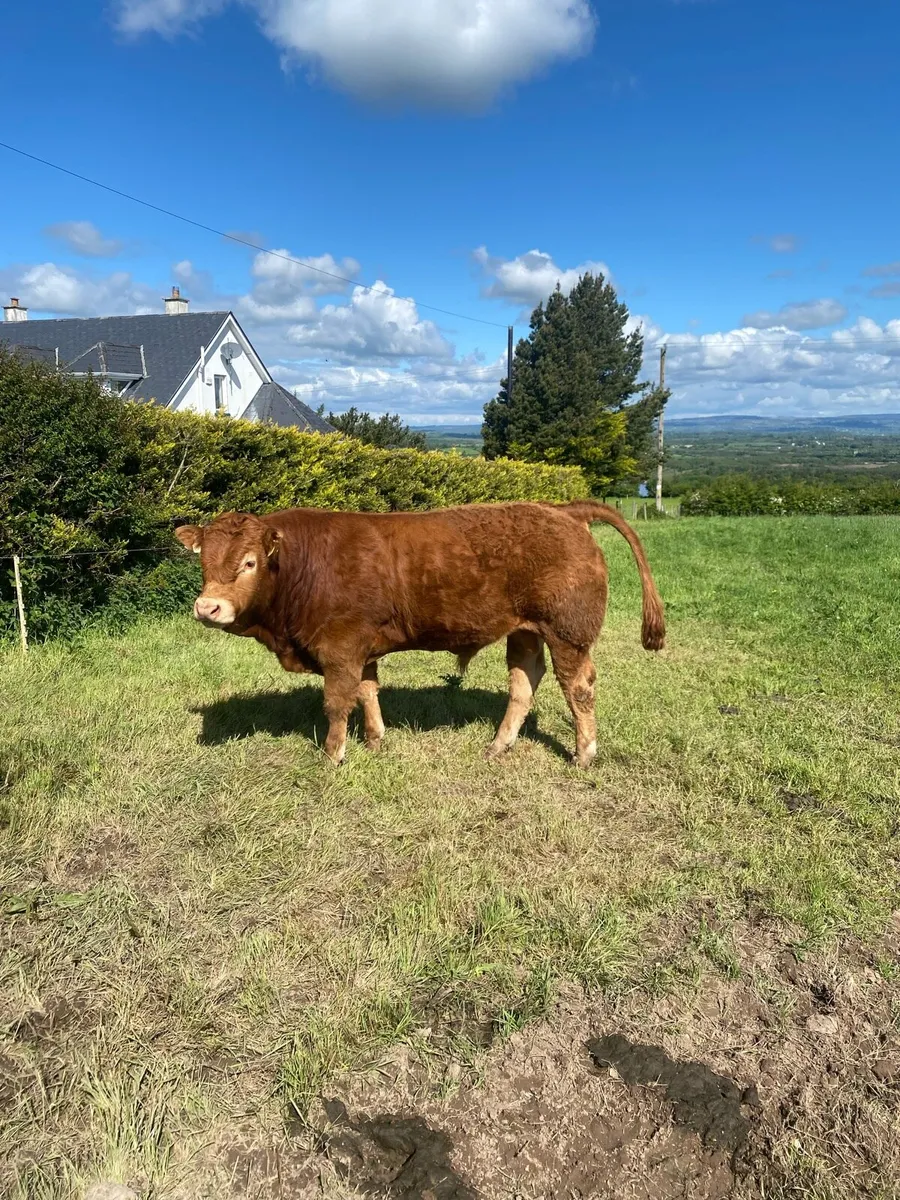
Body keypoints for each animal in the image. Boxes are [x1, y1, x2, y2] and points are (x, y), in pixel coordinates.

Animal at [174, 500, 665, 768]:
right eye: (203, 561)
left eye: (249, 562)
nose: (207, 607)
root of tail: (562, 510)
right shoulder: (362, 647)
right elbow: (368, 692)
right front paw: (376, 740)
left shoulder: (339, 648)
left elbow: (337, 704)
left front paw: (332, 755)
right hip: (525, 632)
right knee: (524, 683)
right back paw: (498, 746)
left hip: (568, 632)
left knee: (578, 688)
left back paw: (584, 754)